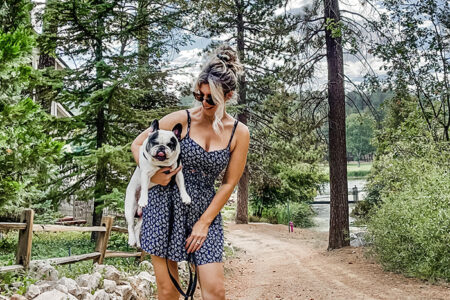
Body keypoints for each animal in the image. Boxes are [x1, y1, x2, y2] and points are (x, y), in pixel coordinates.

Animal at [125, 118, 192, 247]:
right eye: (154, 142)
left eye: (170, 145)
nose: (161, 148)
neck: (161, 164)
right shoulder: (145, 174)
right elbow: (144, 188)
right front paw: (143, 199)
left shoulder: (178, 172)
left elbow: (182, 186)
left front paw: (185, 197)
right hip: (130, 207)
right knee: (130, 225)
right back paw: (131, 240)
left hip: (143, 218)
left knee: (137, 228)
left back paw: (139, 244)